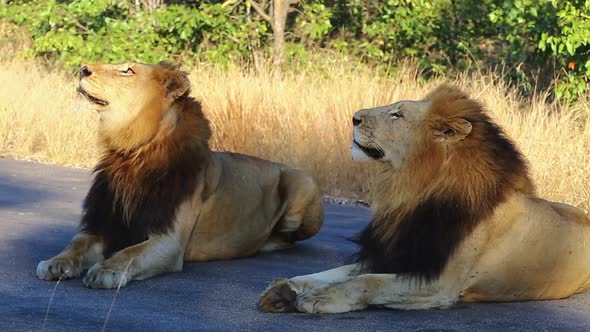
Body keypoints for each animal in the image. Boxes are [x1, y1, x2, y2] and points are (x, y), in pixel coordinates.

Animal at [37, 61, 324, 288]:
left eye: (127, 70)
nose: (82, 69)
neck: (133, 153)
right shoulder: (103, 223)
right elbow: (76, 243)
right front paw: (56, 262)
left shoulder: (169, 240)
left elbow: (131, 253)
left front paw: (107, 270)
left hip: (304, 181)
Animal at [260, 84, 590, 312]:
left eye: (397, 114)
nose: (353, 118)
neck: (413, 192)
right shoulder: (395, 252)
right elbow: (335, 272)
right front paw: (285, 289)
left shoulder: (439, 282)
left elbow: (367, 280)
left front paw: (322, 297)